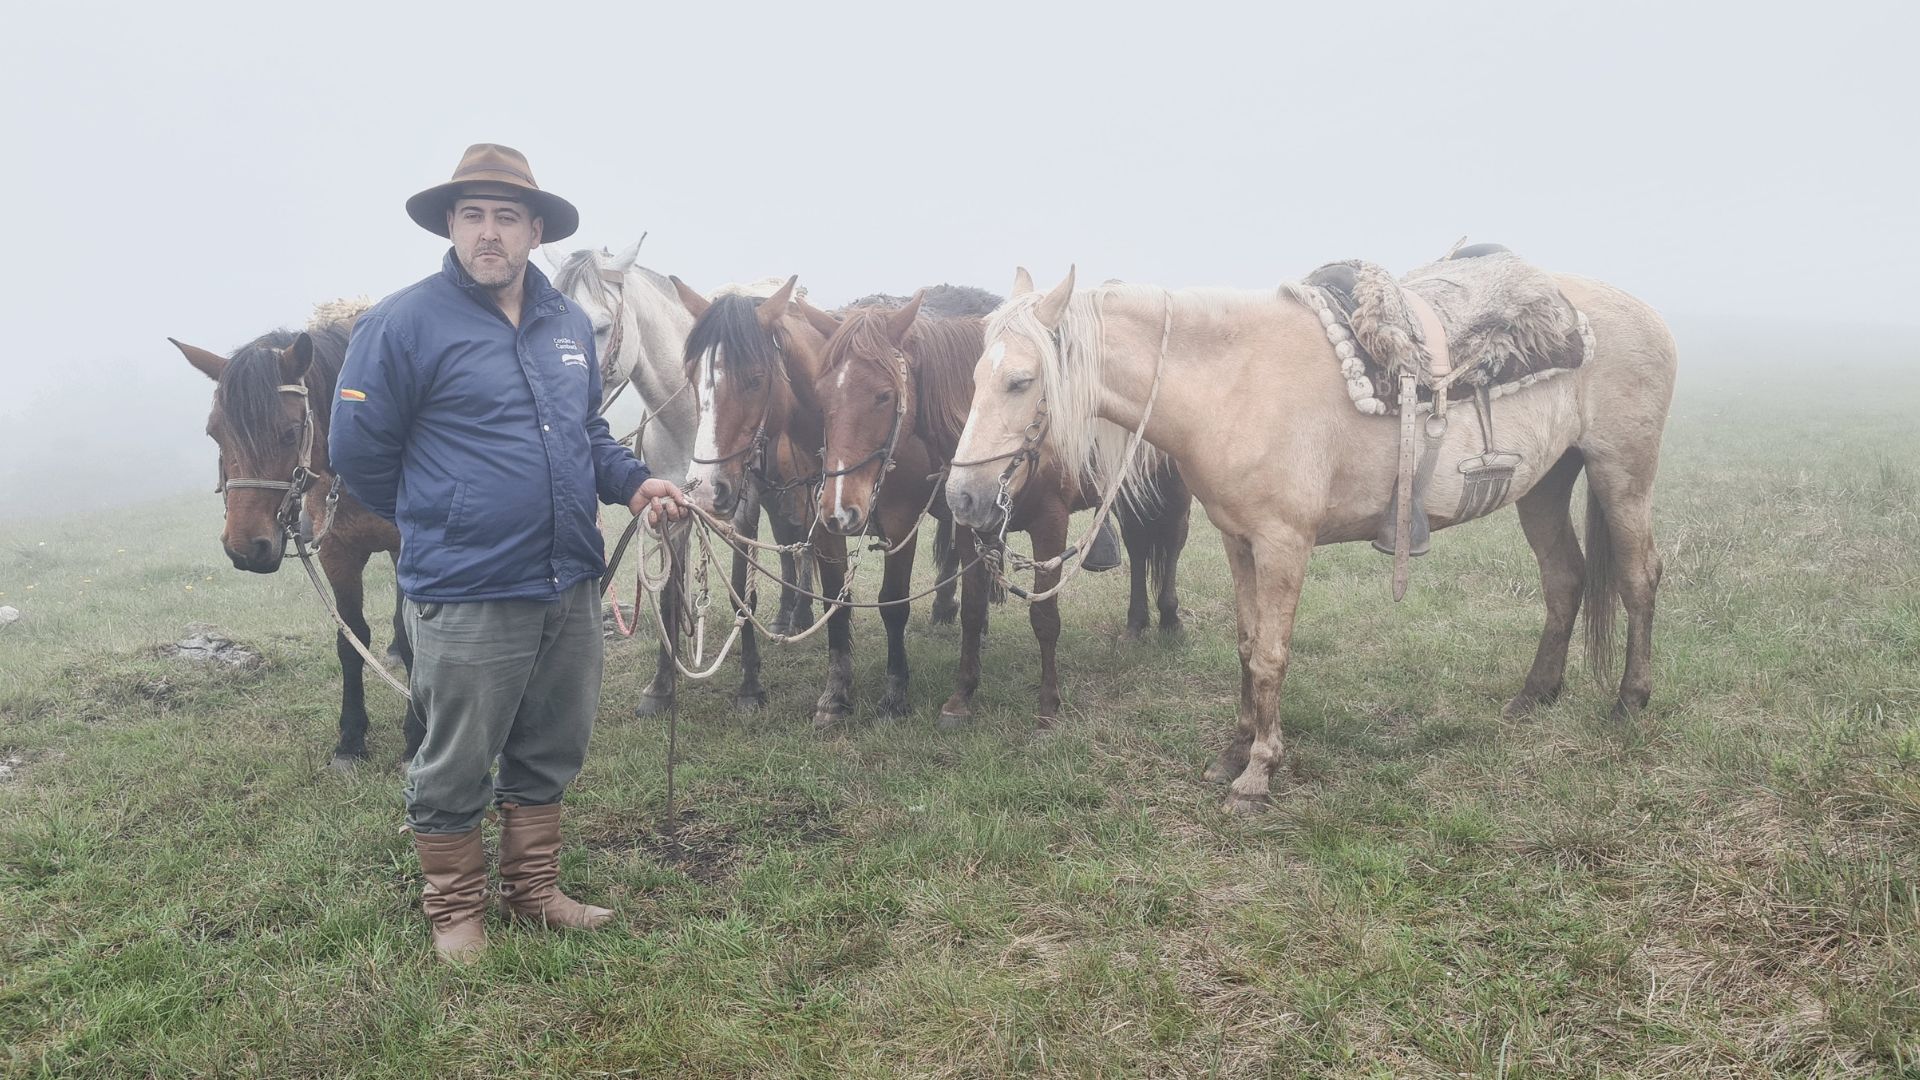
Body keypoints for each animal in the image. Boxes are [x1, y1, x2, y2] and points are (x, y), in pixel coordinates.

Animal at [169, 315, 424, 768]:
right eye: (214, 432)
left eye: (289, 432)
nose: (246, 548)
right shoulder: (338, 554)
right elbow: (350, 639)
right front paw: (351, 739)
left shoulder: (404, 550)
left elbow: (414, 637)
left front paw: (414, 739)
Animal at [545, 247, 814, 711]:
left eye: (599, 326)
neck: (691, 416)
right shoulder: (671, 509)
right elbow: (671, 593)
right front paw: (661, 687)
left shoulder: (740, 510)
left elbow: (741, 591)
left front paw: (750, 686)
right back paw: (786, 617)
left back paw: (803, 616)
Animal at [802, 294, 1190, 722]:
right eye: (820, 396)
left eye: (884, 395)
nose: (838, 505)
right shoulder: (971, 526)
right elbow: (971, 611)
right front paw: (962, 696)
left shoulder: (1049, 524)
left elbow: (1044, 614)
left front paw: (1048, 702)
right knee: (1138, 548)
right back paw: (1135, 626)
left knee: (1172, 545)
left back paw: (1170, 620)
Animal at [952, 267, 1674, 807]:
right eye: (975, 376)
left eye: (1021, 380)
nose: (963, 498)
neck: (1233, 383)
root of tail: (1649, 314)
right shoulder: (1238, 541)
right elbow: (1247, 647)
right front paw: (1233, 750)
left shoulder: (1283, 544)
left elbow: (1272, 655)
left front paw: (1258, 773)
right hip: (1545, 485)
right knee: (1565, 579)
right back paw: (1533, 695)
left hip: (1621, 474)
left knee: (1638, 578)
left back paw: (1629, 700)